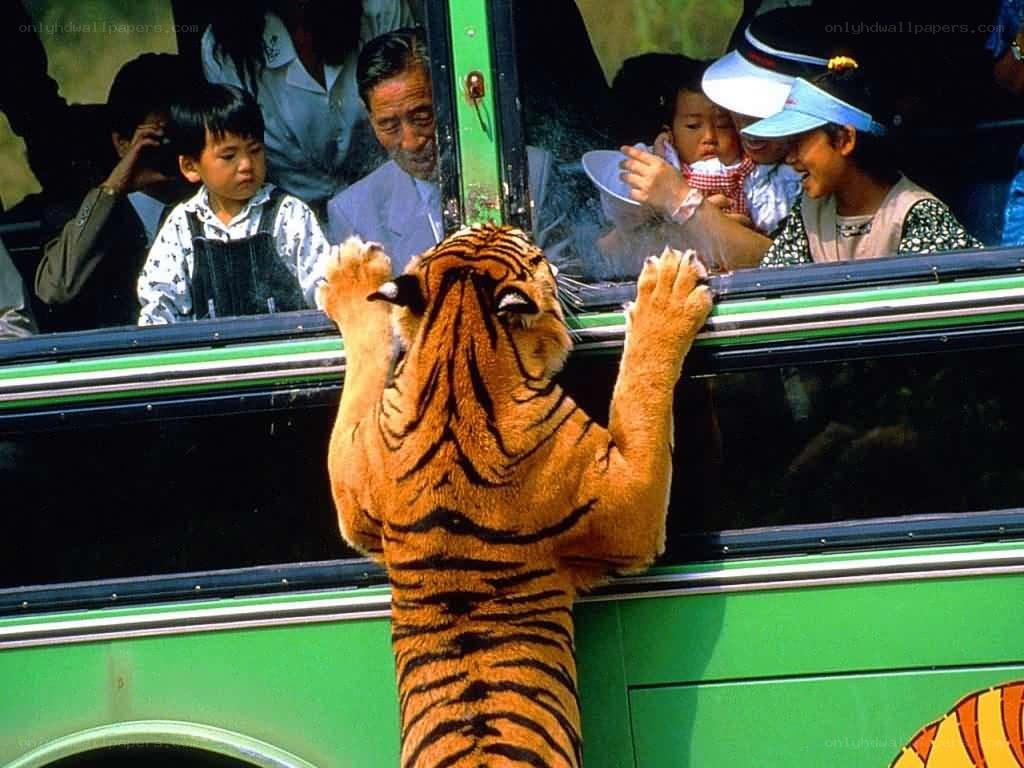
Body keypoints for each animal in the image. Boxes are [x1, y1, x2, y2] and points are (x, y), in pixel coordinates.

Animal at [320, 223, 712, 768]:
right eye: (538, 256)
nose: (502, 222)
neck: (457, 345)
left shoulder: (350, 488)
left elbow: (365, 367)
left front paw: (352, 275)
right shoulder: (632, 508)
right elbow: (639, 392)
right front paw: (668, 290)